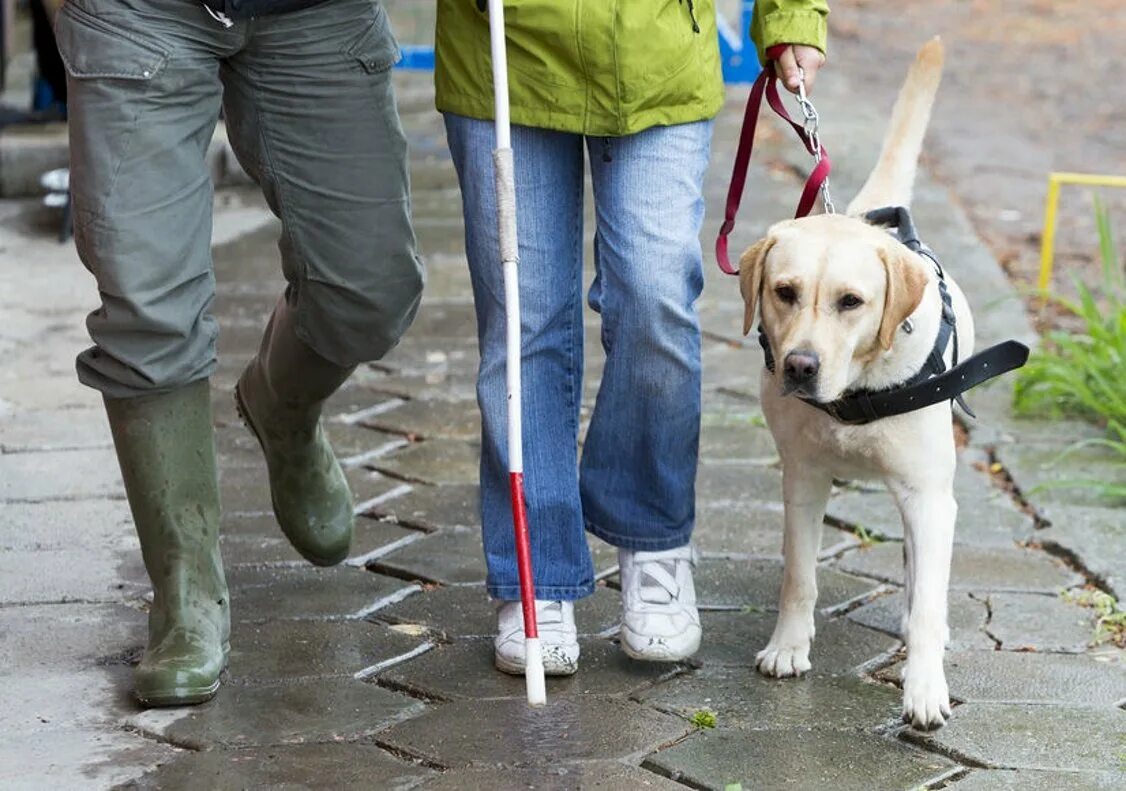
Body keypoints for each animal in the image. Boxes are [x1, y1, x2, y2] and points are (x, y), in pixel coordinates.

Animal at [738, 38, 968, 730]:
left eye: (851, 302)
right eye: (784, 292)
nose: (800, 366)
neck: (854, 393)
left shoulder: (927, 495)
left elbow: (927, 601)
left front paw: (924, 686)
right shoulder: (802, 480)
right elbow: (799, 576)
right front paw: (789, 647)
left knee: (922, 573)